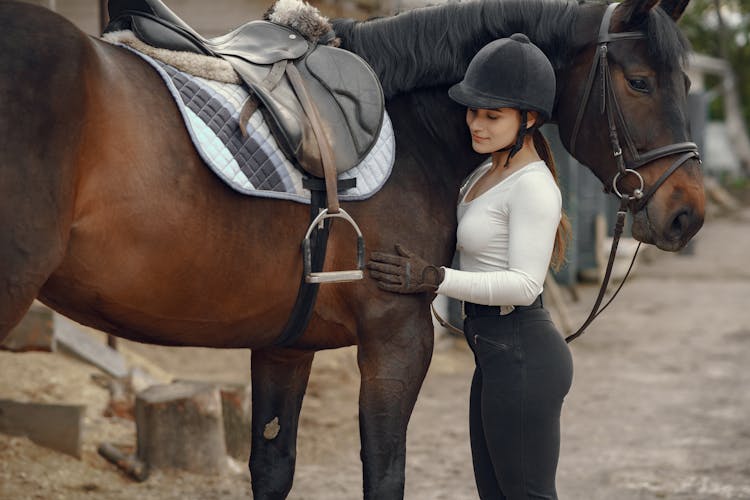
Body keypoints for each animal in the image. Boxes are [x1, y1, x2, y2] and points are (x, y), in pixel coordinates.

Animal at [0, 0, 704, 498]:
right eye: (640, 82)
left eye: (687, 83)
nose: (686, 213)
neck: (415, 127)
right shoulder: (396, 340)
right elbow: (385, 473)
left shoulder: (286, 345)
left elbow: (273, 466)